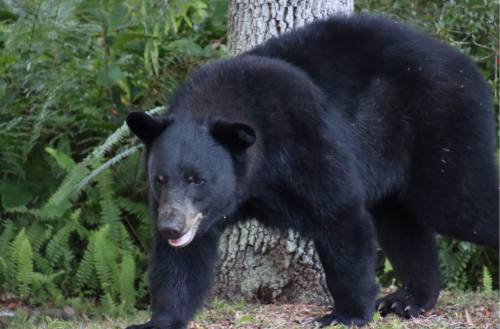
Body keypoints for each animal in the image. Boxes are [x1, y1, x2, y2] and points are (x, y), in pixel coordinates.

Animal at [124, 14, 496, 328]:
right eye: (159, 179)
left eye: (198, 179)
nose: (171, 227)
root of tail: (466, 64)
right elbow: (183, 261)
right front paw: (160, 319)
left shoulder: (305, 138)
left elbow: (340, 214)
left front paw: (345, 314)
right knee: (400, 226)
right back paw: (407, 300)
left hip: (440, 128)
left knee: (461, 203)